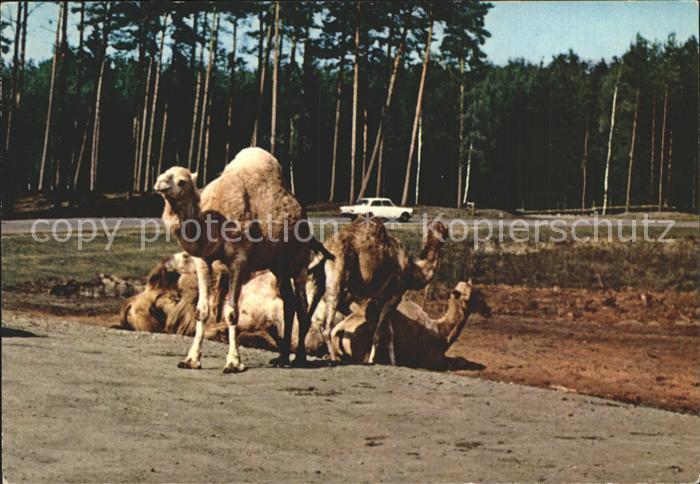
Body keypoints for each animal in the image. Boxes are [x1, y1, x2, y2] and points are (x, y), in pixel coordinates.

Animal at [154, 147, 329, 372]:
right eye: (165, 172)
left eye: (182, 181)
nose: (160, 183)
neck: (214, 224)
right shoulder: (203, 260)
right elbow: (202, 311)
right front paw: (191, 360)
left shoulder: (238, 260)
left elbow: (231, 313)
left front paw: (233, 362)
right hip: (277, 266)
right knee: (288, 303)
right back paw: (281, 358)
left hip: (298, 260)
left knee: (302, 305)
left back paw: (299, 358)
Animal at [317, 216, 449, 365]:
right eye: (443, 228)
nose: (447, 235)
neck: (412, 270)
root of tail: (327, 245)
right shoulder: (395, 294)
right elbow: (378, 335)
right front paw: (371, 361)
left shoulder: (381, 299)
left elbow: (389, 334)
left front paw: (393, 363)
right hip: (338, 277)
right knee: (327, 326)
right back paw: (333, 359)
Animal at [330, 281, 491, 369]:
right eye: (471, 296)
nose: (487, 310)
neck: (441, 332)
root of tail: (340, 330)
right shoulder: (433, 360)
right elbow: (457, 361)